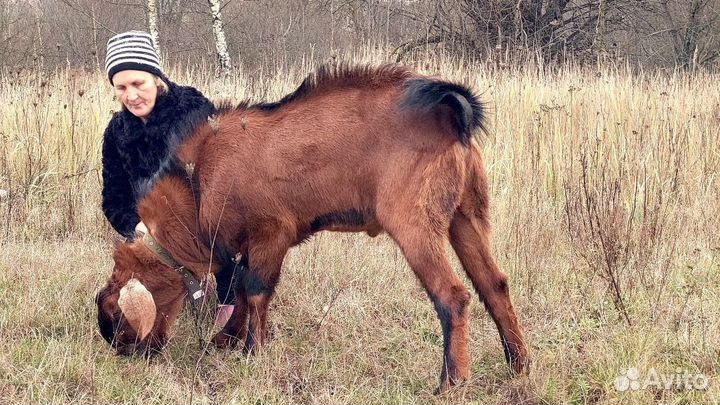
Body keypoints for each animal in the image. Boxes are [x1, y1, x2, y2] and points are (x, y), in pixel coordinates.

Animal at [96, 64, 529, 391]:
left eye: (116, 314)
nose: (121, 350)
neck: (199, 177)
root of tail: (450, 112)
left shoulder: (272, 233)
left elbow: (256, 290)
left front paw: (253, 351)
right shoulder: (245, 244)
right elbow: (240, 288)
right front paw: (228, 339)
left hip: (415, 223)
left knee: (452, 296)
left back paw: (451, 382)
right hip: (466, 215)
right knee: (493, 284)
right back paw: (519, 365)